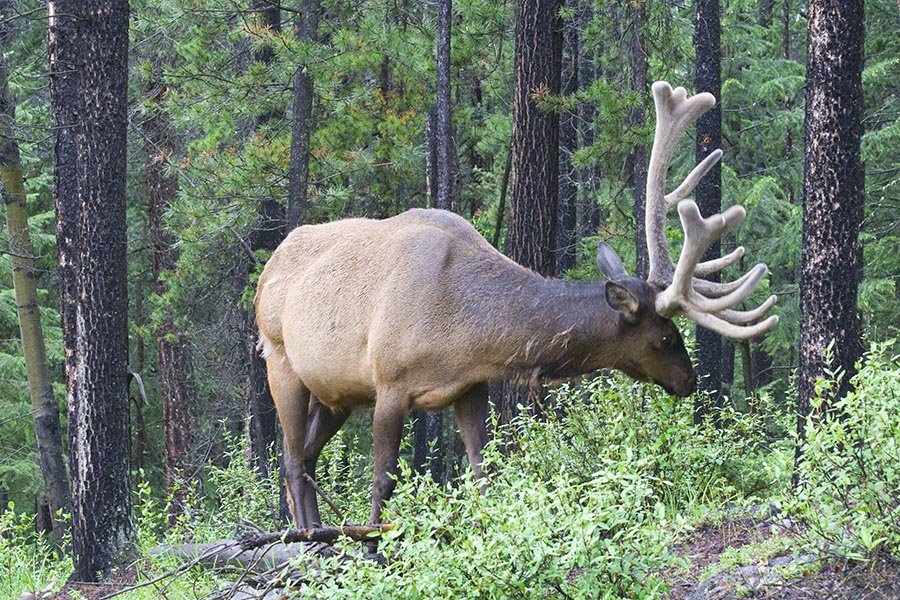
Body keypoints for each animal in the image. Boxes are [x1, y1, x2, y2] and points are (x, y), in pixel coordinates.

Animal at [256, 79, 776, 528]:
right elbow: (383, 481)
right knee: (292, 459)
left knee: (306, 457)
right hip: (279, 358)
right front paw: (376, 544)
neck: (464, 330)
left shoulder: (469, 385)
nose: (690, 381)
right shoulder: (390, 381)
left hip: (336, 391)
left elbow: (481, 473)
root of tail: (266, 272)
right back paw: (308, 538)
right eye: (667, 337)